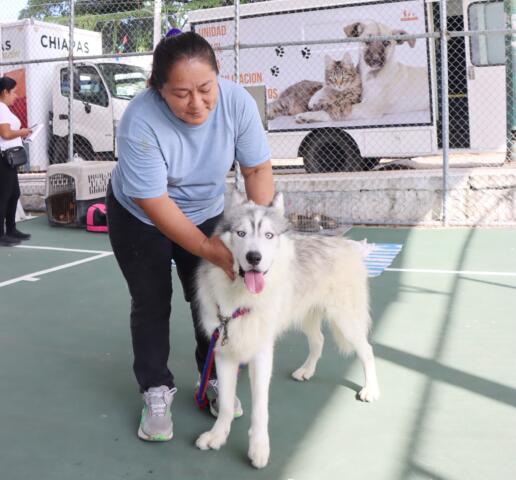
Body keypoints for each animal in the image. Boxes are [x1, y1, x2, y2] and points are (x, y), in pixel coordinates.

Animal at [194, 192, 378, 468]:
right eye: (241, 233)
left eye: (269, 235)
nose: (254, 258)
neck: (241, 301)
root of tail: (347, 244)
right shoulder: (225, 353)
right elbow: (226, 404)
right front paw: (218, 436)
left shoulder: (261, 355)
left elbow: (260, 409)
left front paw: (259, 449)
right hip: (307, 316)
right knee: (319, 340)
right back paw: (306, 371)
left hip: (346, 322)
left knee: (367, 350)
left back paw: (371, 390)